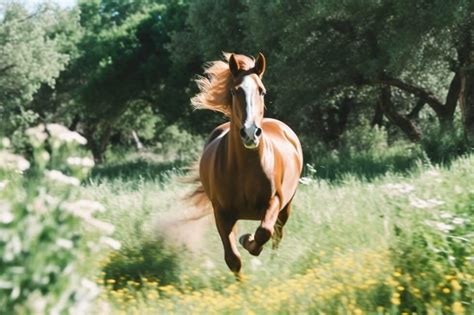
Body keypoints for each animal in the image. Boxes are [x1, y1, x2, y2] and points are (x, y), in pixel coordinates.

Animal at [189, 52, 304, 278]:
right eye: (235, 91)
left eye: (262, 90)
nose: (251, 133)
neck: (245, 168)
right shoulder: (221, 213)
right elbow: (232, 258)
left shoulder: (274, 201)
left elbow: (263, 232)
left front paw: (249, 242)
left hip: (287, 206)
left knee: (277, 234)